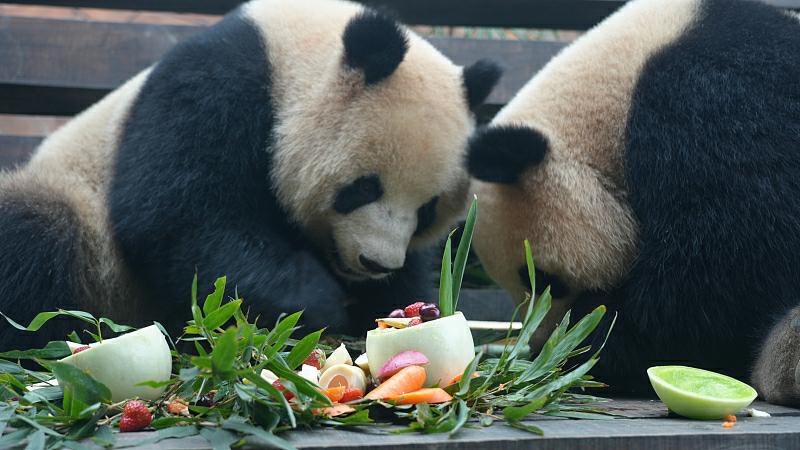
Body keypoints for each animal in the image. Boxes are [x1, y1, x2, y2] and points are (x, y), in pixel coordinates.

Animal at [0, 0, 500, 350]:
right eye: (363, 188)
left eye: (427, 210)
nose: (375, 263)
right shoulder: (216, 86)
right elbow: (181, 219)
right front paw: (317, 300)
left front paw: (390, 306)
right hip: (92, 244)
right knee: (35, 233)